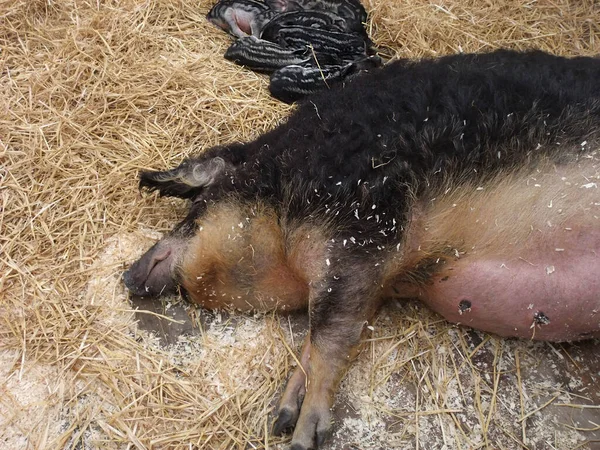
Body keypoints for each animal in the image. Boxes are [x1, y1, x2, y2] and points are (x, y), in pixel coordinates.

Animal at [123, 51, 600, 448]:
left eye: (194, 208)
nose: (127, 276)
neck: (281, 181)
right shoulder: (372, 276)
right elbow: (324, 334)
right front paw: (281, 419)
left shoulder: (363, 231)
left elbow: (328, 336)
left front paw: (303, 437)